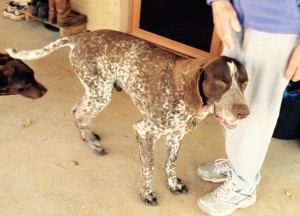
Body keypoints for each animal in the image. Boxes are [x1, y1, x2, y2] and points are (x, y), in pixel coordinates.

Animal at [5, 29, 250, 205]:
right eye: (221, 82)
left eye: (244, 83)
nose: (245, 112)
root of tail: (81, 36)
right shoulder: (144, 130)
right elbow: (149, 168)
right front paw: (146, 193)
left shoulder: (176, 135)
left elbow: (170, 164)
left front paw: (173, 184)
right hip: (100, 92)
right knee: (79, 113)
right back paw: (92, 143)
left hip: (96, 92)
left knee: (77, 111)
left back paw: (87, 137)